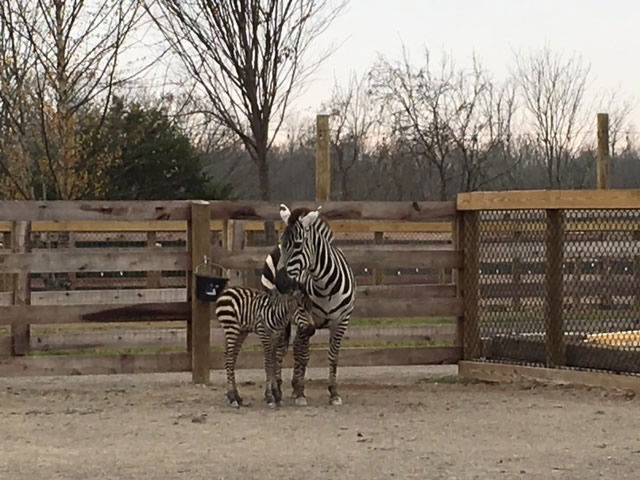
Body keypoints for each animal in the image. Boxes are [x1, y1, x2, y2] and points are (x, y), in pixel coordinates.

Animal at [262, 202, 358, 404]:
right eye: (283, 243)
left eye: (298, 245)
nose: (280, 283)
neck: (326, 286)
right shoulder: (307, 319)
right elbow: (303, 354)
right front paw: (300, 392)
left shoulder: (341, 321)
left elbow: (333, 356)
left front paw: (334, 393)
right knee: (278, 349)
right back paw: (279, 386)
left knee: (290, 347)